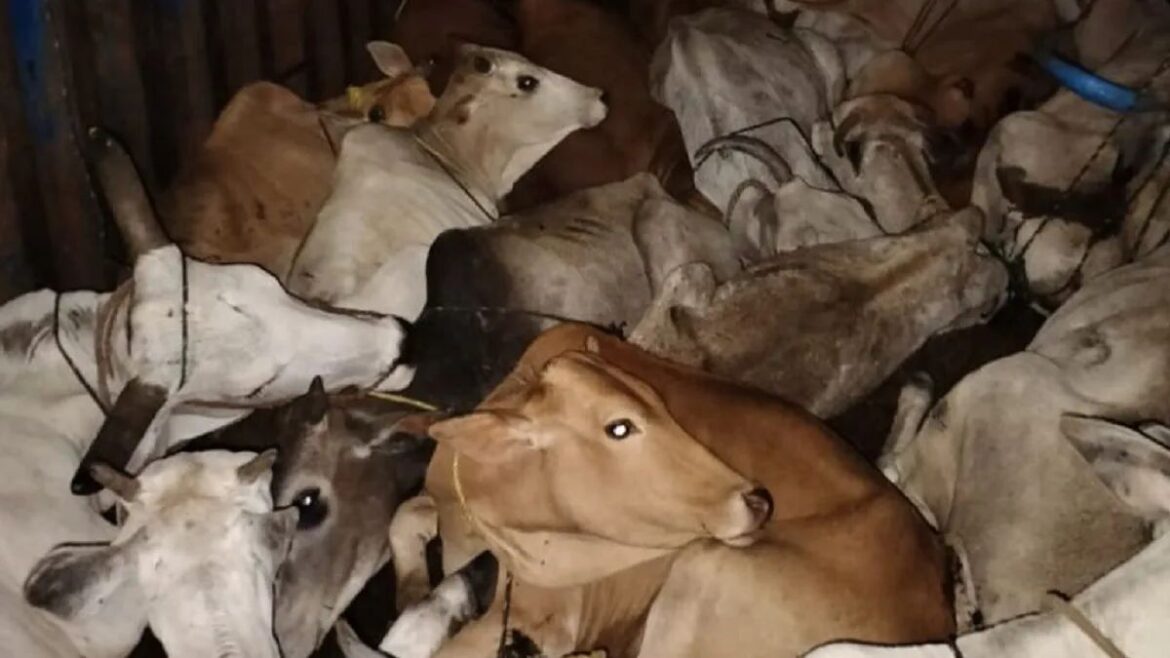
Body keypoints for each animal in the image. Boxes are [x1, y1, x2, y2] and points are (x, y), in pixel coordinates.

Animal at [378, 323, 953, 658]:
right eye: (619, 426)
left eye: (656, 406)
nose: (756, 500)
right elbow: (404, 517)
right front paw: (411, 589)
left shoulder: (550, 618)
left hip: (707, 570)